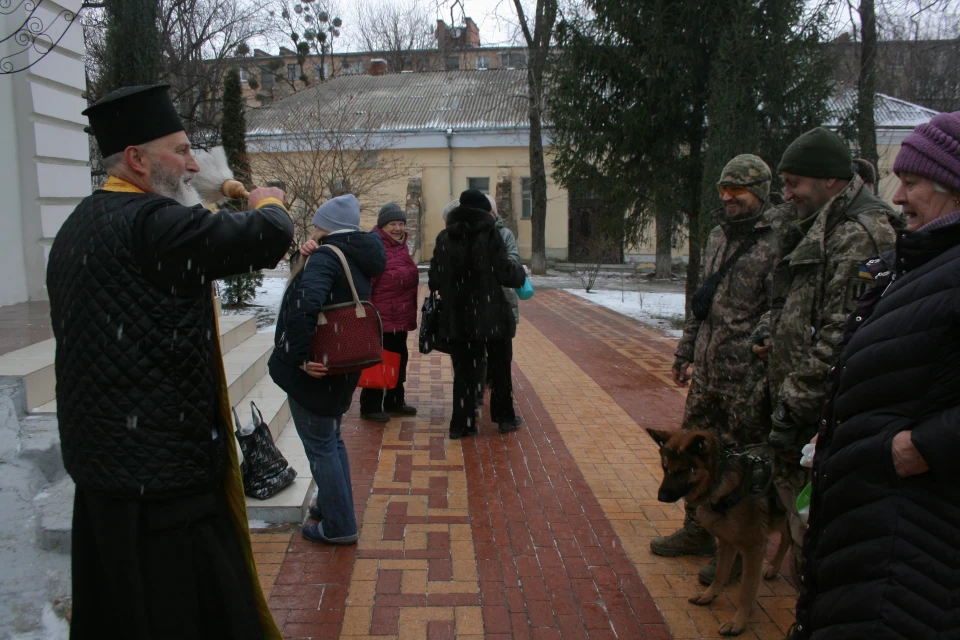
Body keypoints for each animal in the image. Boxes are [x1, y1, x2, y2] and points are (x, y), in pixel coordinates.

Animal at [644, 430, 788, 636]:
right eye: (665, 468)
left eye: (682, 470)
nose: (661, 497)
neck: (723, 481)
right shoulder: (727, 542)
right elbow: (720, 572)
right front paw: (708, 596)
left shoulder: (754, 548)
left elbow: (747, 590)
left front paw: (738, 622)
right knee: (788, 538)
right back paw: (774, 567)